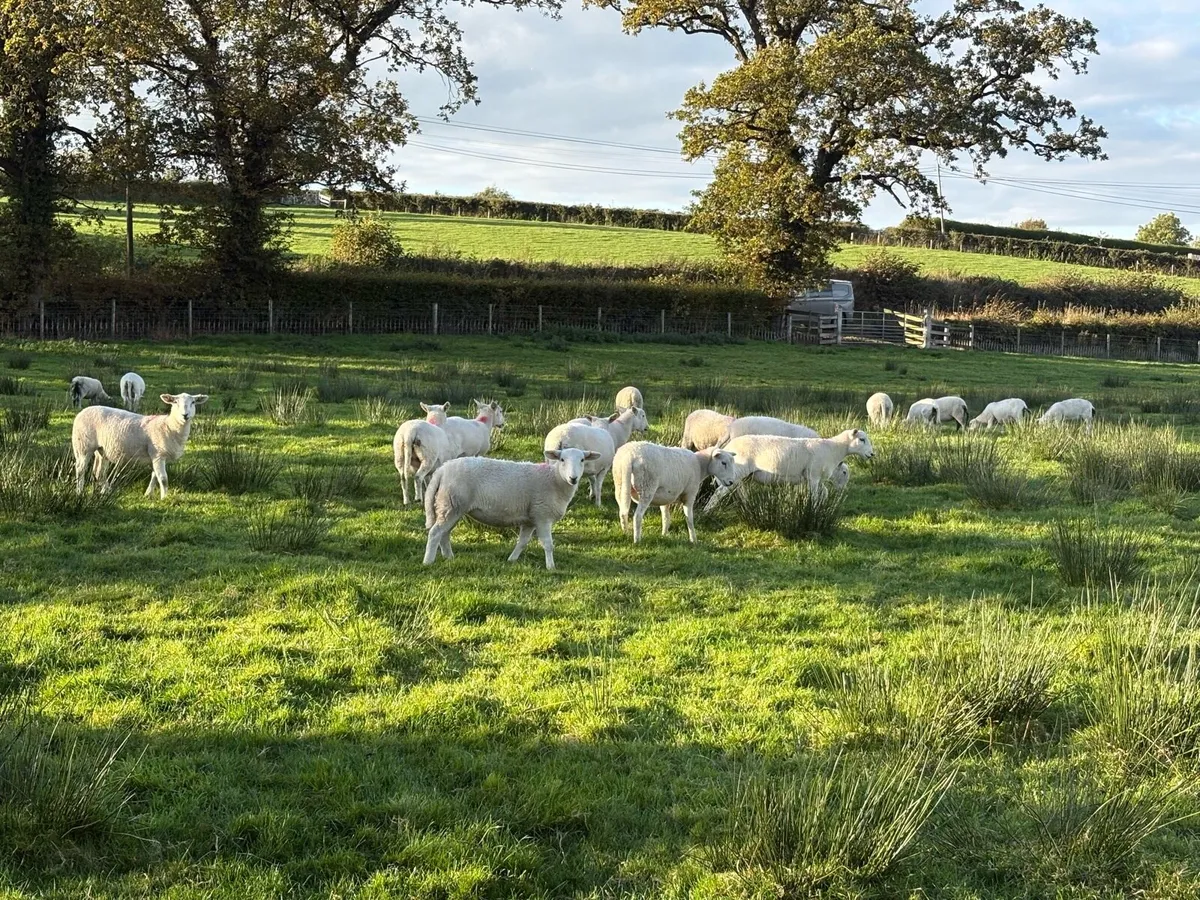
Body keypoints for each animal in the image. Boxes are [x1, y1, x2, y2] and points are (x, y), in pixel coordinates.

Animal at [72, 392, 208, 498]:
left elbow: (154, 475)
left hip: (102, 450)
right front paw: (165, 498)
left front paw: (148, 494)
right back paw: (79, 492)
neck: (169, 426)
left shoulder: (156, 456)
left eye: (193, 402)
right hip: (83, 446)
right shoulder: (158, 454)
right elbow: (163, 479)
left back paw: (105, 491)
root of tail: (82, 412)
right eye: (175, 402)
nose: (185, 415)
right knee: (80, 469)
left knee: (98, 472)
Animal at [423, 447, 600, 570]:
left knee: (444, 533)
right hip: (452, 504)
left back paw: (449, 557)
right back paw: (428, 561)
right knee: (435, 532)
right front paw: (551, 567)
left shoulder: (530, 519)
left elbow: (522, 542)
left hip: (451, 506)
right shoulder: (542, 516)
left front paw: (512, 559)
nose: (573, 478)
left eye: (582, 460)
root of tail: (442, 470)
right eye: (562, 459)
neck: (555, 480)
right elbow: (548, 544)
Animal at [709, 428, 875, 506]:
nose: (872, 454)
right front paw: (814, 510)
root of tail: (728, 447)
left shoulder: (813, 478)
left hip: (745, 476)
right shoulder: (813, 476)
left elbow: (824, 493)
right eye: (862, 439)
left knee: (741, 491)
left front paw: (821, 506)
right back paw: (707, 511)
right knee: (719, 493)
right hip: (735, 473)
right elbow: (815, 496)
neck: (833, 449)